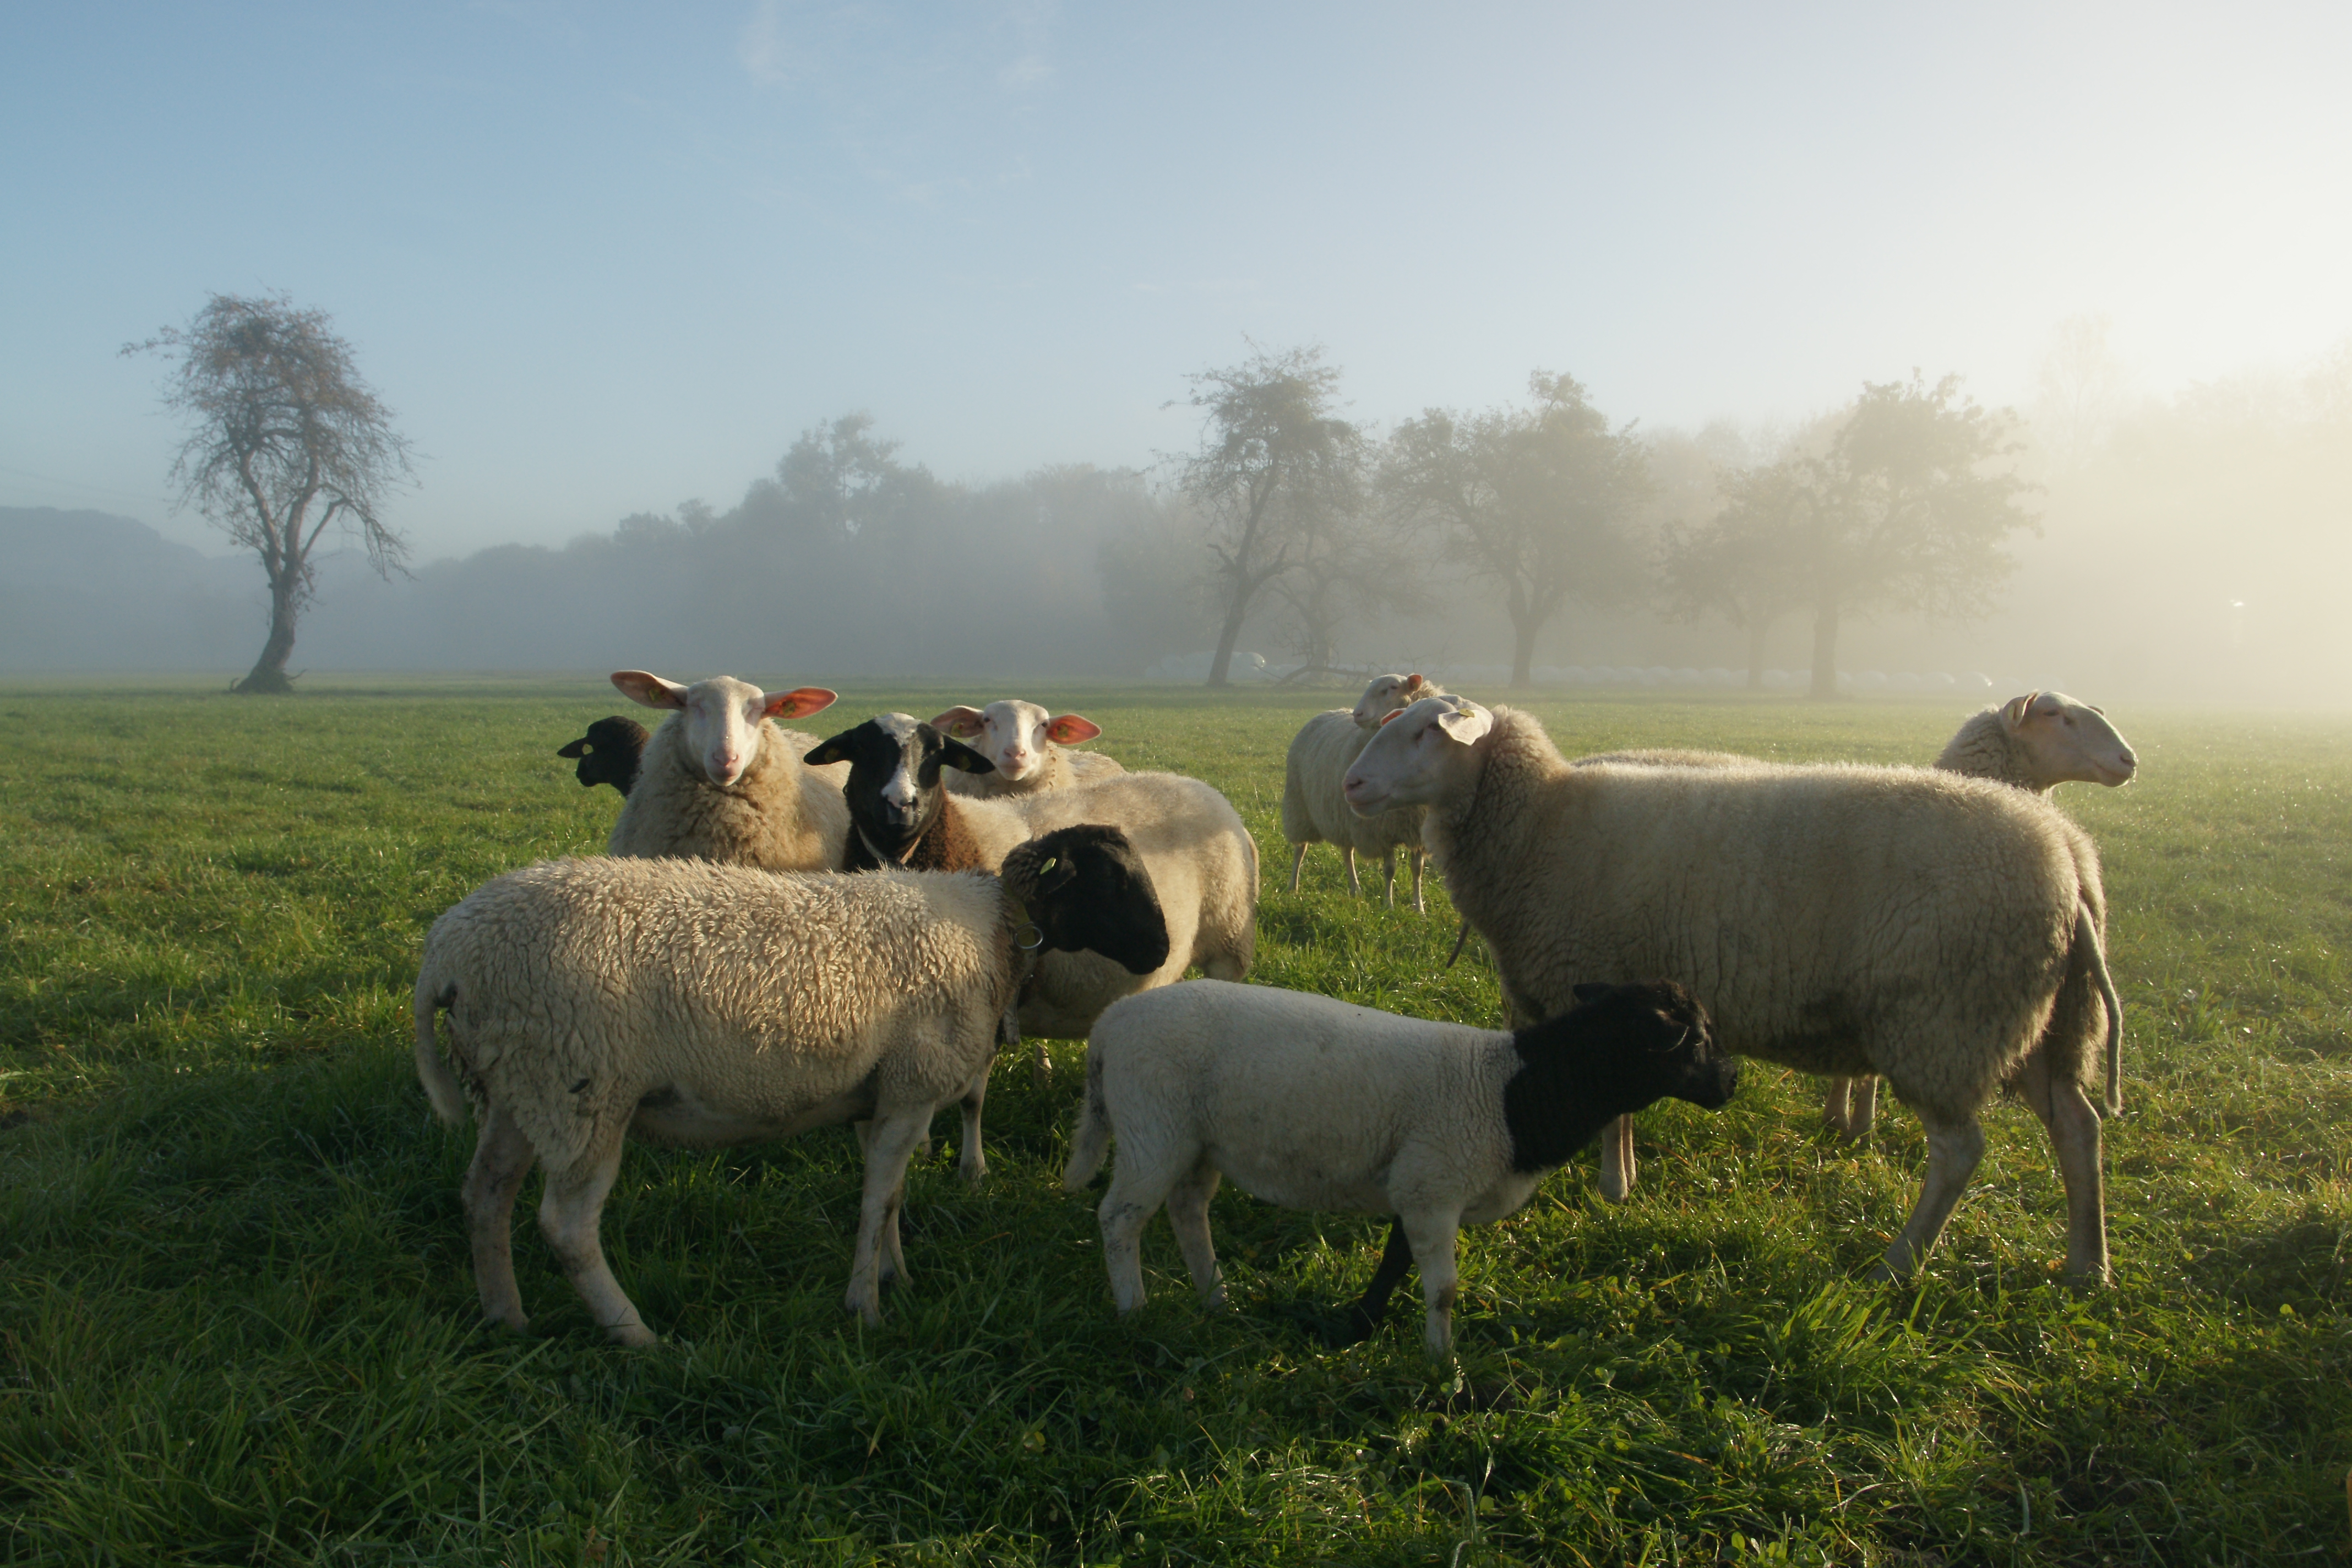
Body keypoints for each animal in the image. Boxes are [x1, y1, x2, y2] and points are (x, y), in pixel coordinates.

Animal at [412, 823, 1172, 1344]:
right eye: (1108, 879)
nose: (1162, 949)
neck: (993, 933)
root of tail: (447, 950)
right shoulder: (913, 1086)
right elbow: (876, 1199)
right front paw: (865, 1307)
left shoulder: (882, 1091)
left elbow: (892, 1195)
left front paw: (896, 1275)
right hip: (584, 1088)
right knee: (567, 1227)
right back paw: (634, 1334)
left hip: (518, 1087)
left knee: (485, 1195)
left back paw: (505, 1316)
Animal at [1063, 978, 1736, 1356]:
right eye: (1698, 1038)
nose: (1732, 1083)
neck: (1511, 1091)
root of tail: (1108, 1026)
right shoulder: (1434, 1185)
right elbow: (1442, 1289)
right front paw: (1443, 1367)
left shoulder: (1416, 1184)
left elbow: (1394, 1261)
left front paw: (1358, 1326)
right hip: (1154, 1127)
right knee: (1120, 1218)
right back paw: (1135, 1310)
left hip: (1197, 1141)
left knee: (1188, 1211)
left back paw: (1215, 1299)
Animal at [1281, 673, 1446, 912]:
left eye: (1392, 688)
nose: (1357, 714)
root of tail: (1324, 713)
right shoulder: (1380, 829)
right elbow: (1390, 869)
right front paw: (1388, 906)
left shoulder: (1417, 828)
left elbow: (1418, 869)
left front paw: (1419, 908)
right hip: (1299, 805)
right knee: (1300, 849)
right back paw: (1293, 886)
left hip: (1342, 815)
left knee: (1347, 853)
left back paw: (1355, 890)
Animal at [1343, 695, 2125, 1284]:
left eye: (1426, 732)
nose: (1351, 785)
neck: (1541, 822)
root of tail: (2069, 859)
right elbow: (1622, 1109)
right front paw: (1624, 1183)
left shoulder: (1592, 983)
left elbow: (1610, 1111)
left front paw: (1611, 1189)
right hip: (2040, 1020)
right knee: (2077, 1126)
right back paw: (2087, 1267)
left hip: (1947, 1019)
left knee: (1961, 1152)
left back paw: (1898, 1265)